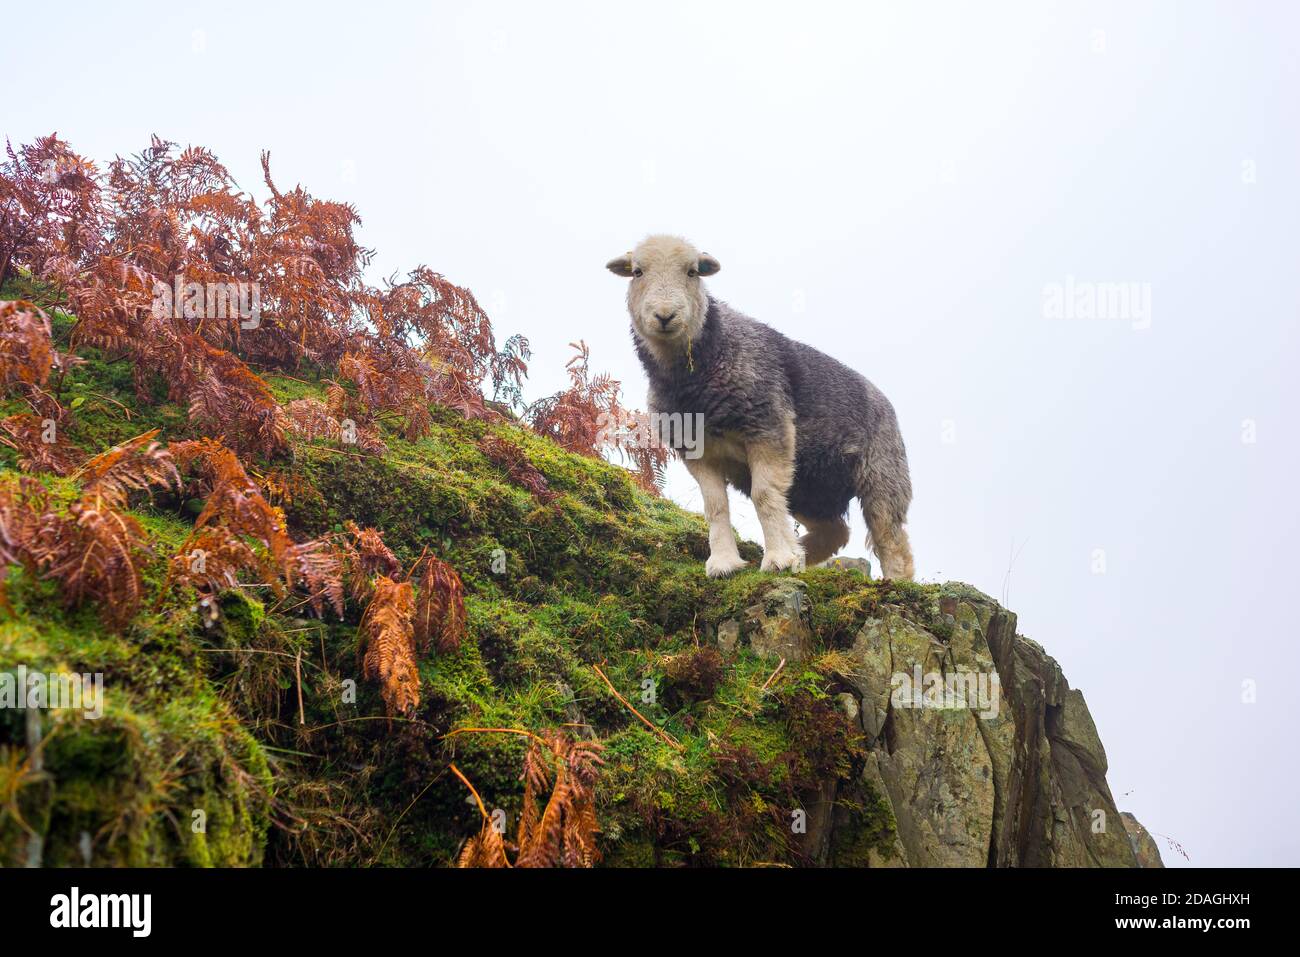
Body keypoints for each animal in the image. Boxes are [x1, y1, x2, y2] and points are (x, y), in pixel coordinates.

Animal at [605, 235, 915, 579]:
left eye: (692, 271)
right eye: (637, 272)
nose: (664, 315)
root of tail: (881, 397)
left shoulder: (769, 430)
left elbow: (764, 495)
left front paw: (778, 558)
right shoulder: (696, 450)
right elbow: (715, 506)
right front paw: (724, 562)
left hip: (882, 472)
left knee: (890, 537)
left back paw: (895, 580)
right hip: (809, 485)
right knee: (835, 530)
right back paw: (802, 552)